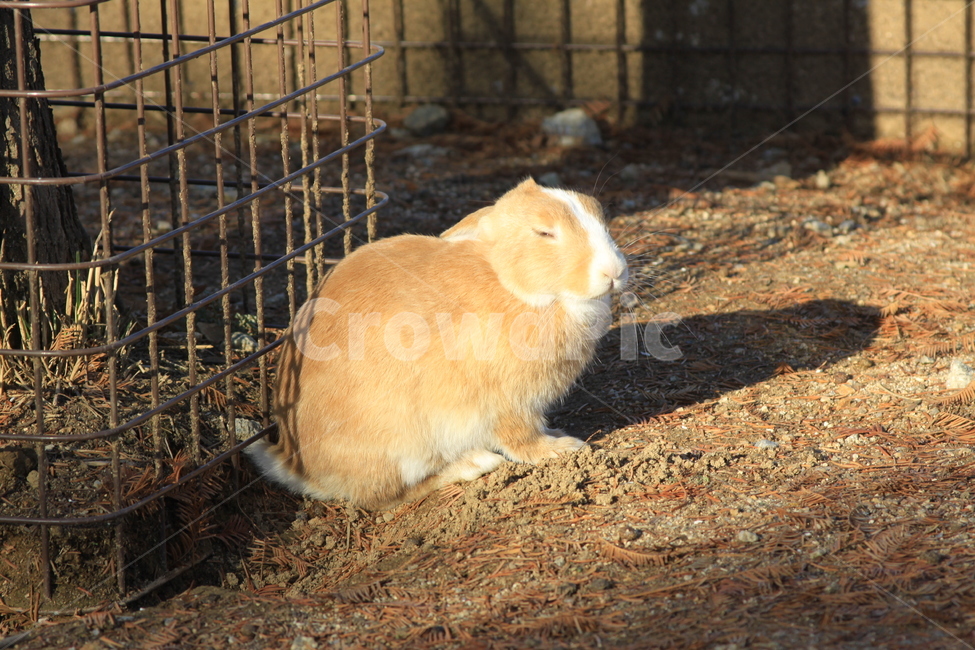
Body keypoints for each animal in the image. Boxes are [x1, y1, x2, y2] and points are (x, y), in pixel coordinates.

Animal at [247, 178, 628, 510]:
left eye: (600, 217)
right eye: (544, 233)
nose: (613, 272)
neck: (512, 284)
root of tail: (297, 465)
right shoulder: (508, 402)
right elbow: (521, 437)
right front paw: (562, 447)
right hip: (403, 443)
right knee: (386, 497)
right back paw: (473, 463)